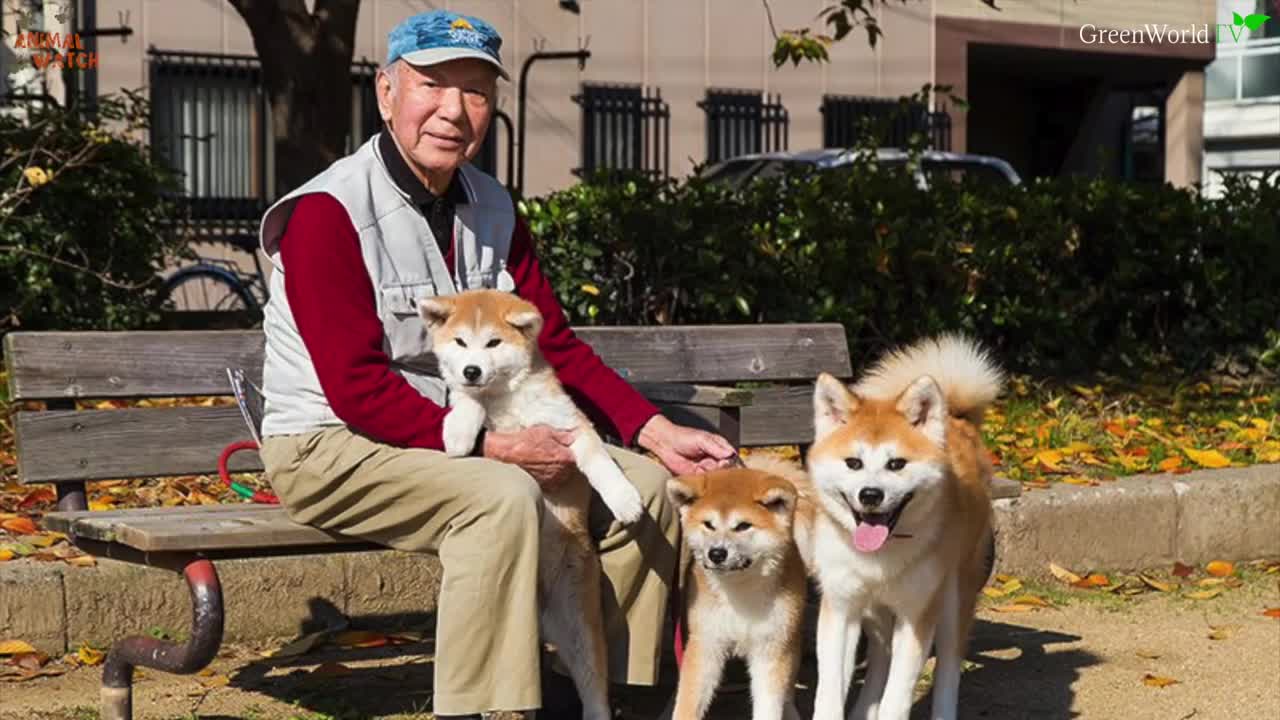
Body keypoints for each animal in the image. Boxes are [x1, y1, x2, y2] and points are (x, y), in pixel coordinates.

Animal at [417, 286, 645, 717]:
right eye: (460, 343)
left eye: (493, 343)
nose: (471, 370)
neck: (505, 398)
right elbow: (468, 403)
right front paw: (458, 431)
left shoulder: (572, 427)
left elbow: (599, 462)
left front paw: (624, 498)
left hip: (580, 628)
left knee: (594, 687)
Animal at [665, 453, 803, 717]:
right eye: (708, 524)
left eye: (743, 526)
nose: (717, 553)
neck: (740, 588)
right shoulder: (706, 642)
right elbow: (688, 701)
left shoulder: (771, 648)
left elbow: (770, 704)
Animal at [798, 333, 998, 717]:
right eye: (853, 462)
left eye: (896, 464)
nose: (870, 494)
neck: (881, 555)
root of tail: (957, 419)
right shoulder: (841, 608)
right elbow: (829, 691)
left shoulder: (917, 615)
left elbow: (899, 695)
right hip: (875, 614)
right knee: (879, 659)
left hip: (952, 600)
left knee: (948, 669)